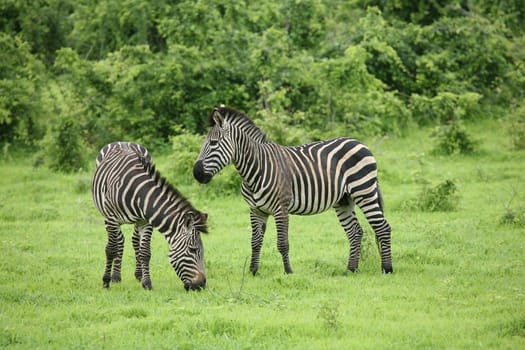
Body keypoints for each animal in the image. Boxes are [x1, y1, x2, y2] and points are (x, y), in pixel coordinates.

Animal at [91, 142, 208, 290]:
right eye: (193, 250)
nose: (202, 285)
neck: (138, 193)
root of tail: (123, 141)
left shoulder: (146, 221)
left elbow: (145, 252)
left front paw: (146, 283)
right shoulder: (112, 218)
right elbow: (111, 249)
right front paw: (106, 281)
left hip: (136, 220)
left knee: (134, 240)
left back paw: (137, 274)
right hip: (107, 216)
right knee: (118, 241)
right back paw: (115, 276)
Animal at [194, 105, 390, 274]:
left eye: (213, 143)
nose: (197, 174)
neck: (257, 167)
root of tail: (359, 142)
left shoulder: (281, 208)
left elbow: (282, 243)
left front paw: (288, 271)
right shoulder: (256, 210)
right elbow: (255, 242)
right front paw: (253, 271)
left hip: (364, 191)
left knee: (383, 227)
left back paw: (387, 269)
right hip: (344, 199)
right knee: (355, 232)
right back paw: (350, 270)